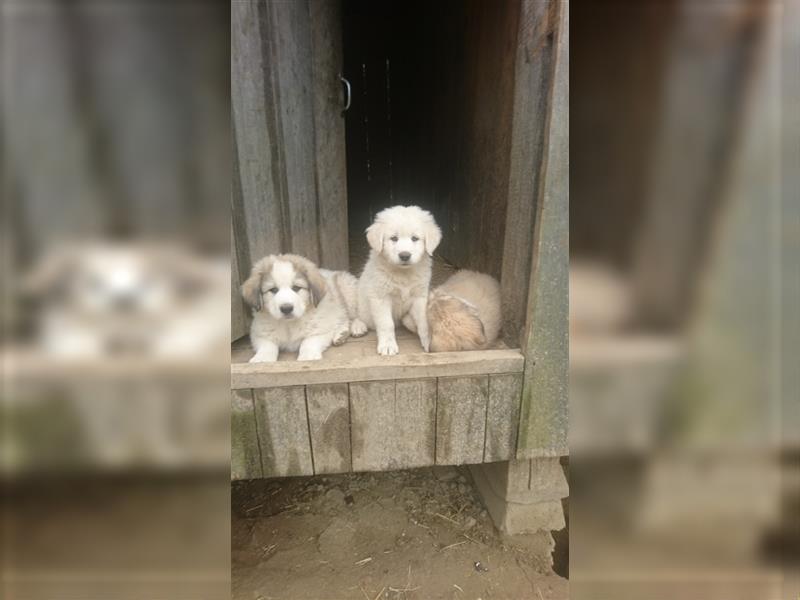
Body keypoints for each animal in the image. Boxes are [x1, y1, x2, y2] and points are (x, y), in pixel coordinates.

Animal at [356, 206, 444, 356]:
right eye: (394, 238)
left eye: (415, 238)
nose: (404, 255)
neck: (403, 273)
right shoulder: (381, 297)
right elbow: (387, 324)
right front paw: (388, 346)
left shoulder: (420, 296)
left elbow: (423, 322)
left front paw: (428, 341)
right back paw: (357, 326)